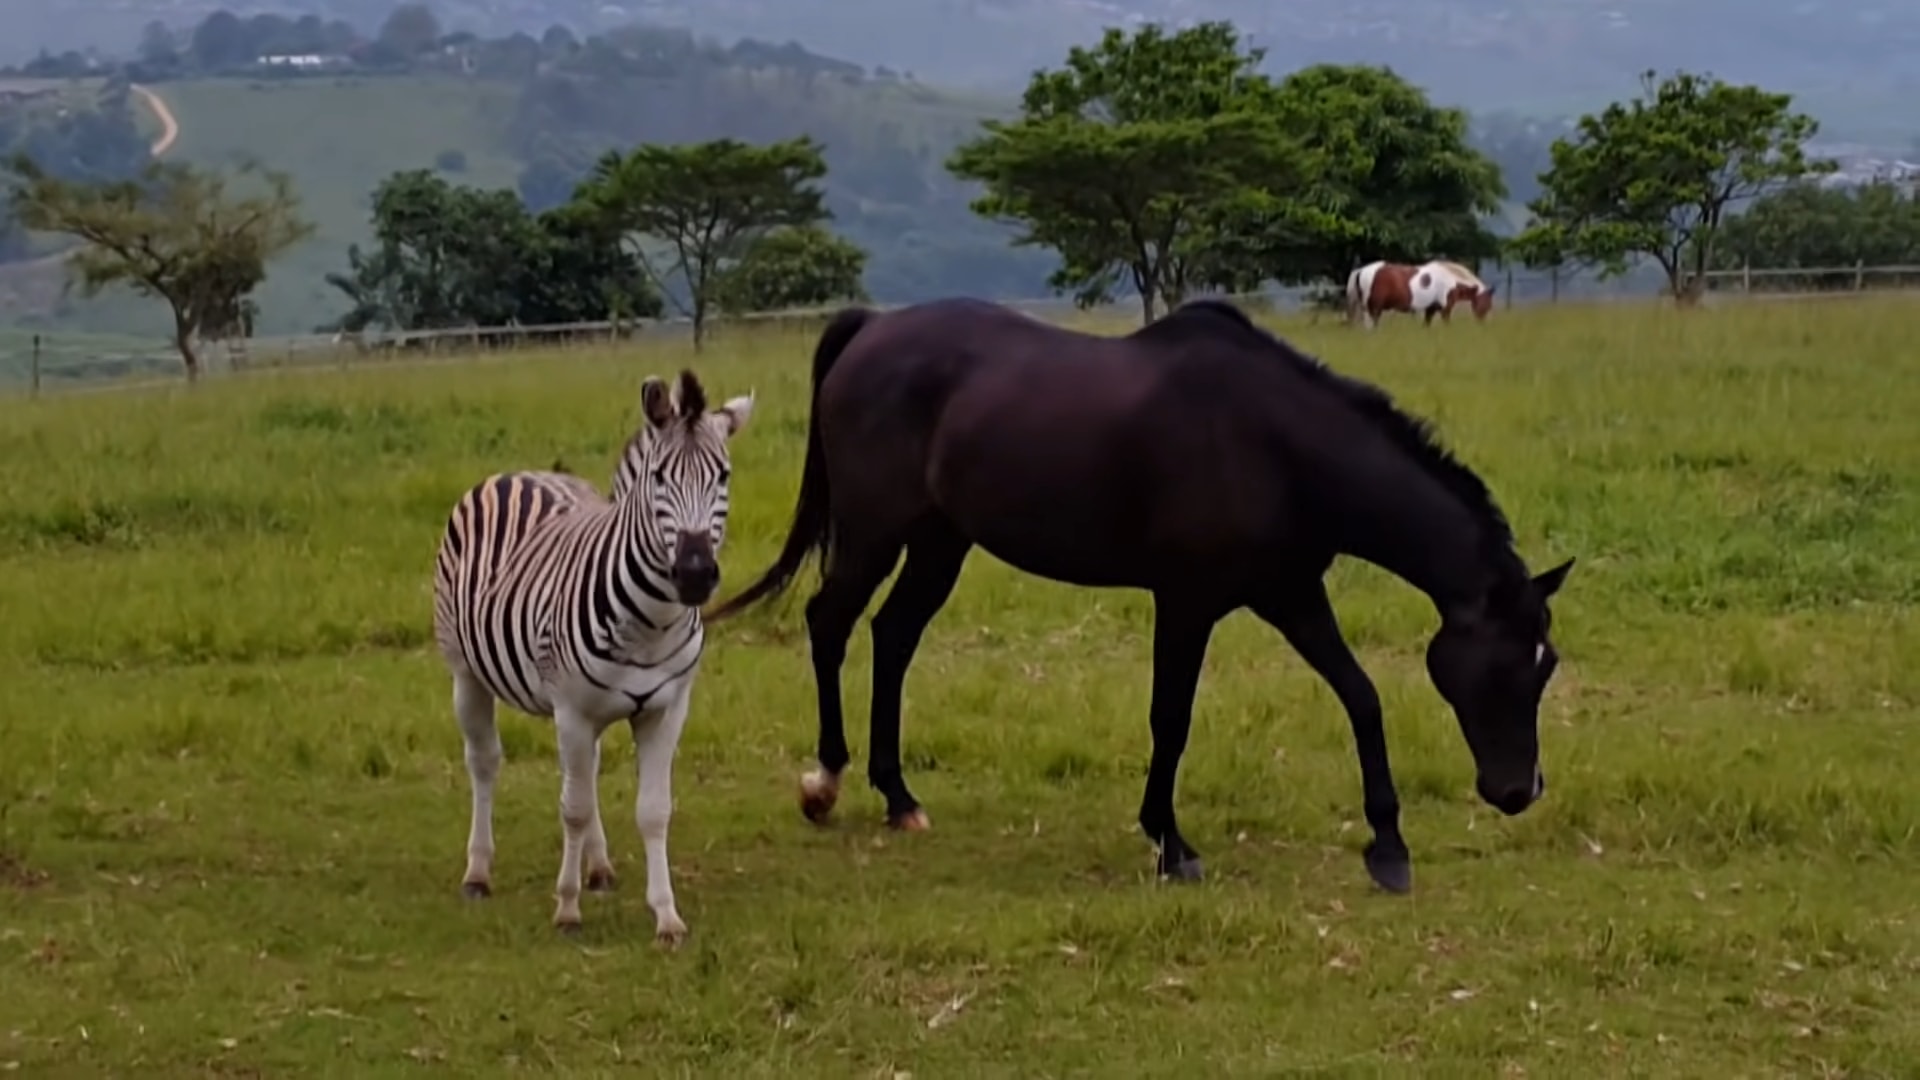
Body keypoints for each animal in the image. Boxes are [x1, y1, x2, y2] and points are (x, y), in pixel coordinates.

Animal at [432, 365, 752, 937]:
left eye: (723, 477)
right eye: (659, 478)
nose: (694, 574)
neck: (649, 625)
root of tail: (521, 472)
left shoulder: (667, 709)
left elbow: (654, 810)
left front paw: (666, 915)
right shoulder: (573, 710)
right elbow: (574, 808)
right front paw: (566, 906)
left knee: (588, 770)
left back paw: (599, 866)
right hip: (465, 673)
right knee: (484, 762)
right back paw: (478, 872)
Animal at [706, 292, 1574, 891]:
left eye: (1548, 663)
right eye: (1507, 666)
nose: (1519, 790)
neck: (1277, 446)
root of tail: (871, 328)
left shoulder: (1290, 592)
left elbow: (1360, 696)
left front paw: (1388, 849)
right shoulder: (1187, 600)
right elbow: (1172, 717)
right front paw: (1169, 843)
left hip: (941, 540)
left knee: (893, 636)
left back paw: (898, 796)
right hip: (875, 531)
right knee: (830, 622)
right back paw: (824, 784)